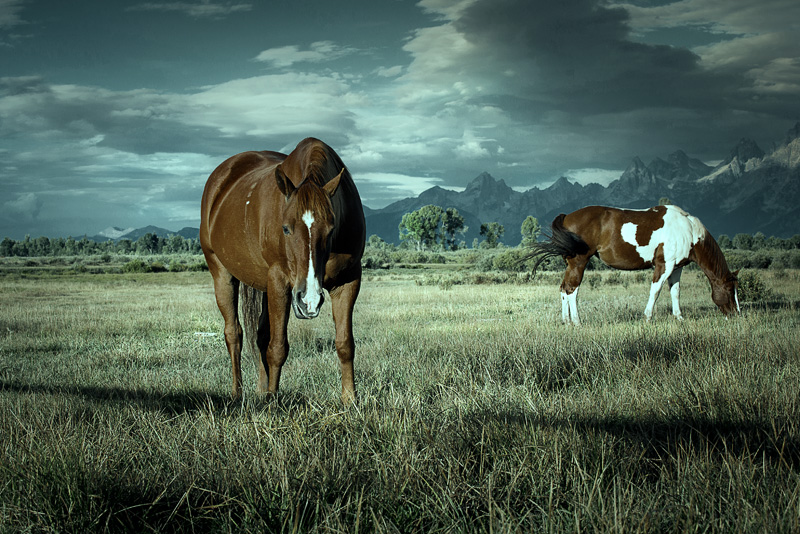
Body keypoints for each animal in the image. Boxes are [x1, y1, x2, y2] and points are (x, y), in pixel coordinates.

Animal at [200, 138, 366, 402]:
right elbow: (277, 347)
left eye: (331, 228)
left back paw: (261, 389)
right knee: (234, 334)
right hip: (222, 274)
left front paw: (350, 399)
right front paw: (273, 401)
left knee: (259, 335)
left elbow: (345, 343)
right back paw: (238, 393)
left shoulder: (349, 281)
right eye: (286, 228)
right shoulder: (279, 280)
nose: (309, 300)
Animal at [528, 204, 740, 324]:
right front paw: (647, 317)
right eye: (730, 290)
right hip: (578, 263)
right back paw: (577, 322)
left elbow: (675, 292)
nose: (737, 314)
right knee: (572, 290)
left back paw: (566, 321)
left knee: (564, 289)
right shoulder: (664, 266)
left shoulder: (676, 268)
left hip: (571, 265)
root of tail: (567, 216)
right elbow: (655, 291)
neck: (687, 230)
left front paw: (679, 317)